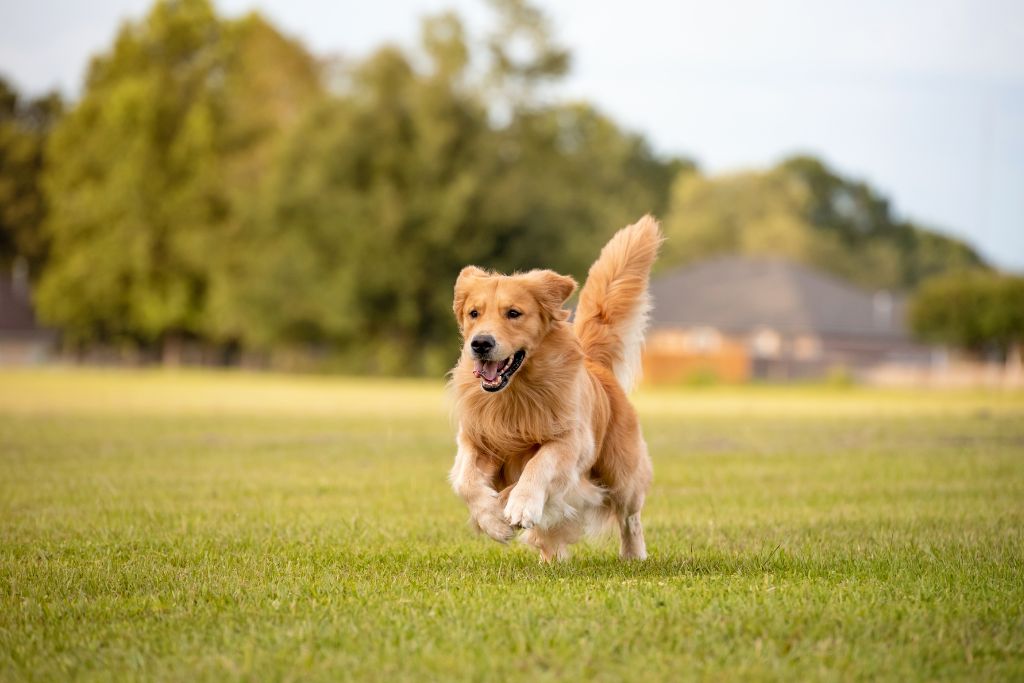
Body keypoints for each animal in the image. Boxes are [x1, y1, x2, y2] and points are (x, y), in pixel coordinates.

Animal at [450, 218, 663, 561]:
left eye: (513, 313)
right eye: (474, 313)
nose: (480, 343)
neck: (516, 393)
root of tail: (597, 366)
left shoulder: (570, 441)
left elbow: (538, 464)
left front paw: (520, 504)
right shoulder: (475, 439)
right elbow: (465, 481)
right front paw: (493, 520)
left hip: (622, 474)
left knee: (630, 516)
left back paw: (633, 554)